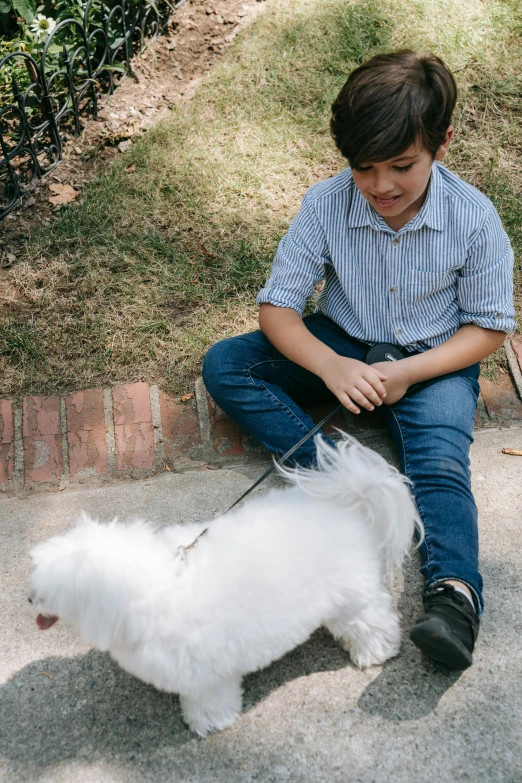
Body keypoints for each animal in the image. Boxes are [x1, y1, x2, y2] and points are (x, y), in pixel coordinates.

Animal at [28, 438, 420, 740]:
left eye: (51, 593)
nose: (29, 597)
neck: (156, 586)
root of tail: (350, 503)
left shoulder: (205, 676)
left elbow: (208, 703)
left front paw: (208, 724)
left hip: (353, 602)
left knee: (371, 624)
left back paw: (375, 653)